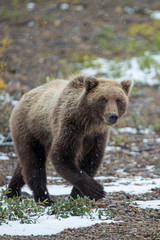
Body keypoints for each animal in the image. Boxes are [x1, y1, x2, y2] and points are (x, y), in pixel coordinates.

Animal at [6, 75, 132, 204]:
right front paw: (95, 189)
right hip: (30, 129)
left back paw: (12, 192)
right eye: (103, 99)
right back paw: (44, 198)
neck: (88, 122)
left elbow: (91, 159)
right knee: (34, 162)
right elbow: (62, 156)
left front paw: (77, 195)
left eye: (119, 100)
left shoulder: (96, 136)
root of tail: (21, 99)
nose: (113, 116)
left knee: (24, 165)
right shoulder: (69, 126)